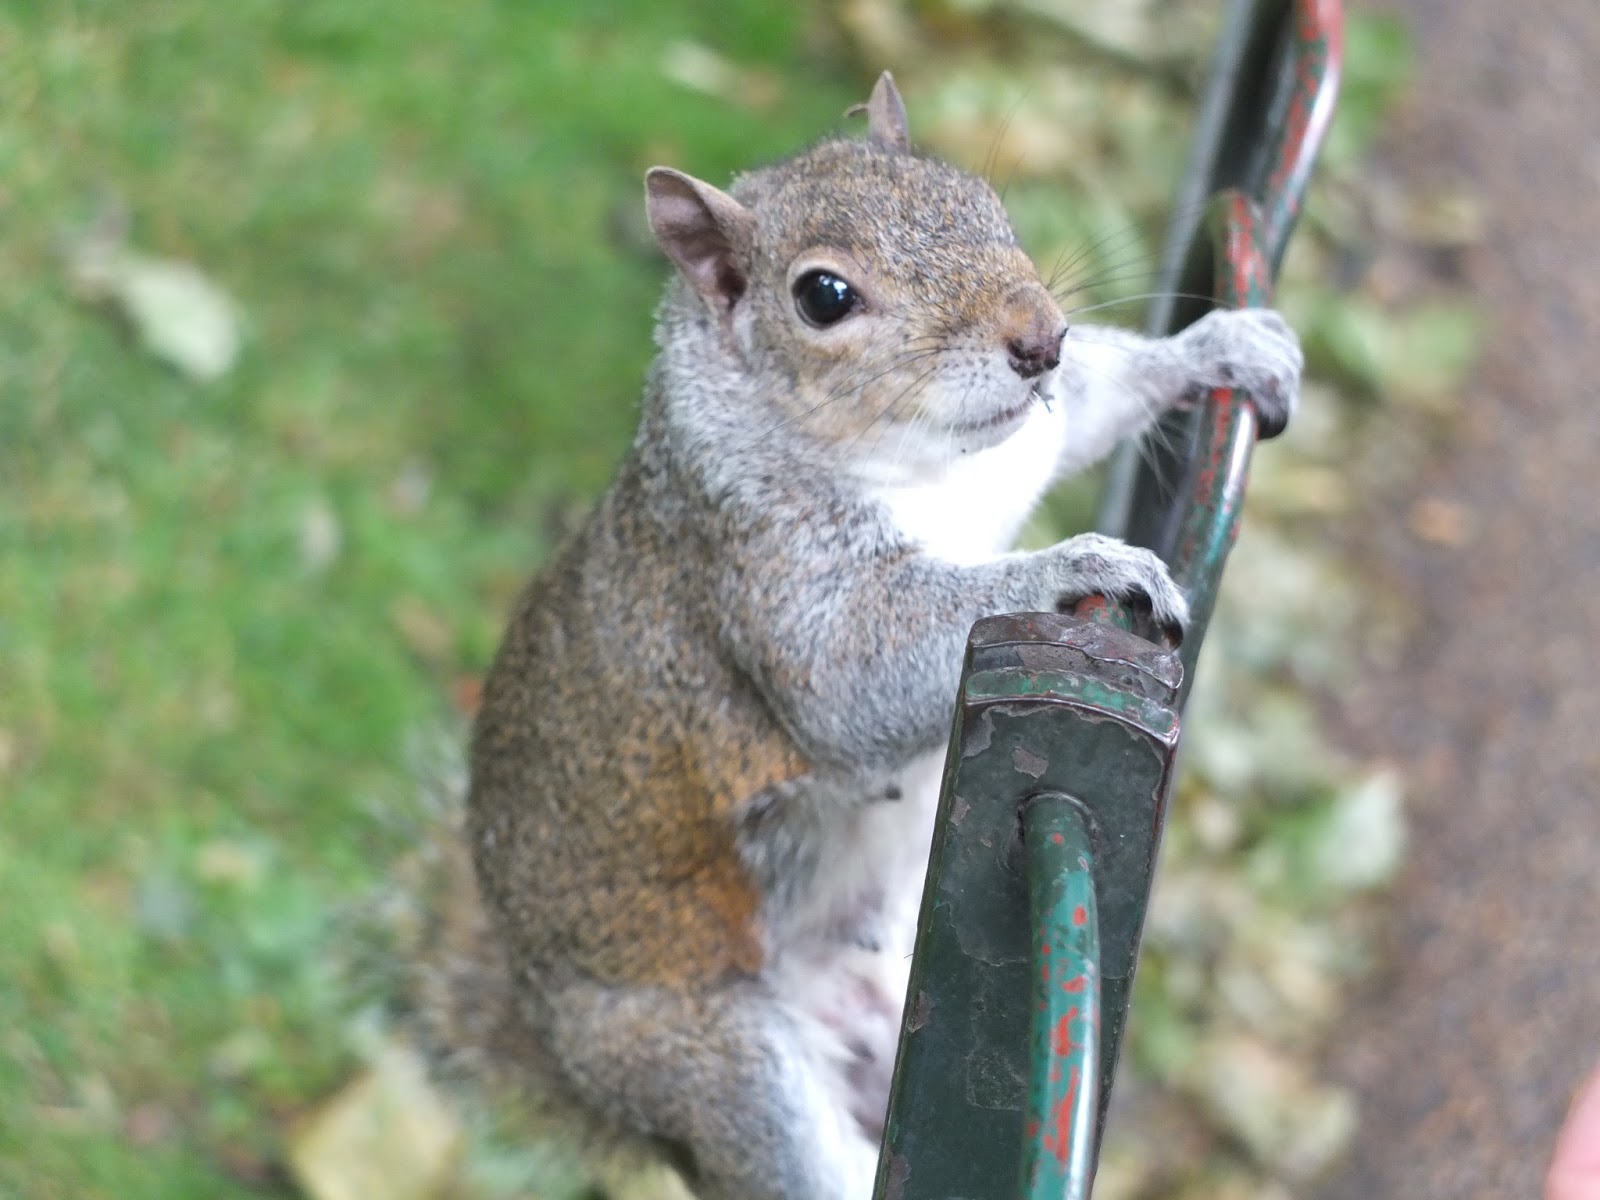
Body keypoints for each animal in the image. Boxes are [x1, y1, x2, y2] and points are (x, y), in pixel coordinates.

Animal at [441, 72, 1302, 1200]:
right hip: (716, 1064)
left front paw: (1220, 347)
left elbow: (1089, 404)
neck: (927, 467)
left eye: (980, 197)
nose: (1040, 338)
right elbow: (849, 679)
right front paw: (1074, 568)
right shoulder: (762, 561)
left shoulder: (1030, 441)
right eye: (823, 296)